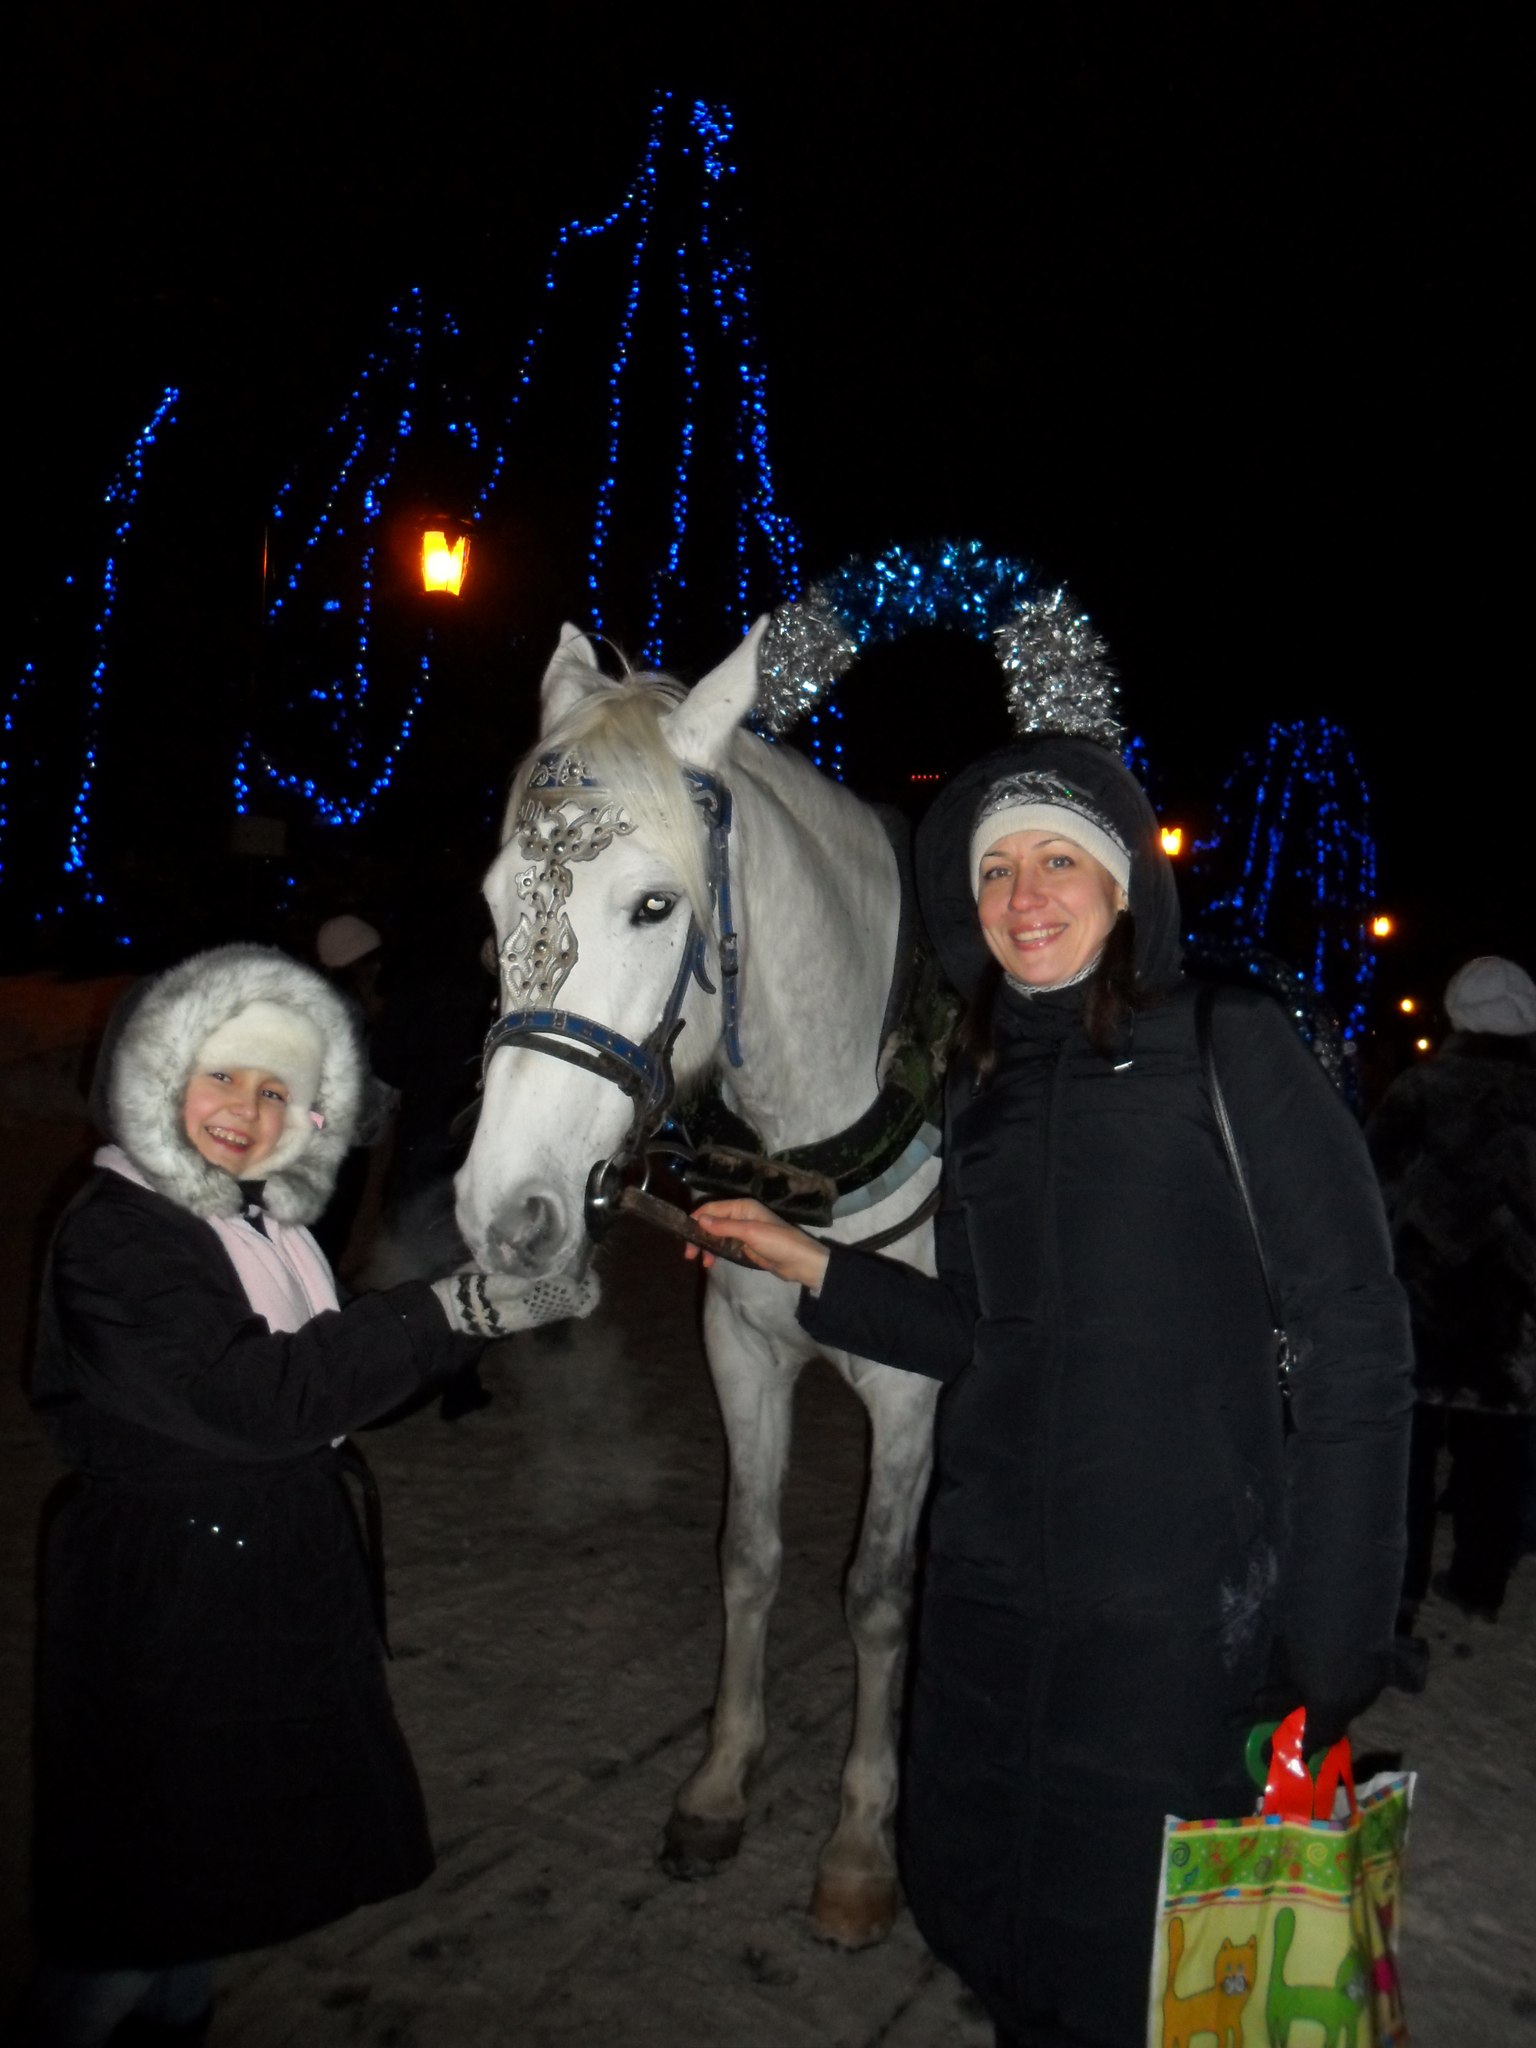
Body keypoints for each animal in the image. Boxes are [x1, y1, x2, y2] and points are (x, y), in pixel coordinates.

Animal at [454, 620, 944, 1946]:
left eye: (655, 902)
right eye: (493, 900)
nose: (506, 1211)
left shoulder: (912, 1391)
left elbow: (877, 1595)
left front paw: (862, 1837)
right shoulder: (742, 1349)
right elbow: (750, 1556)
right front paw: (723, 1779)